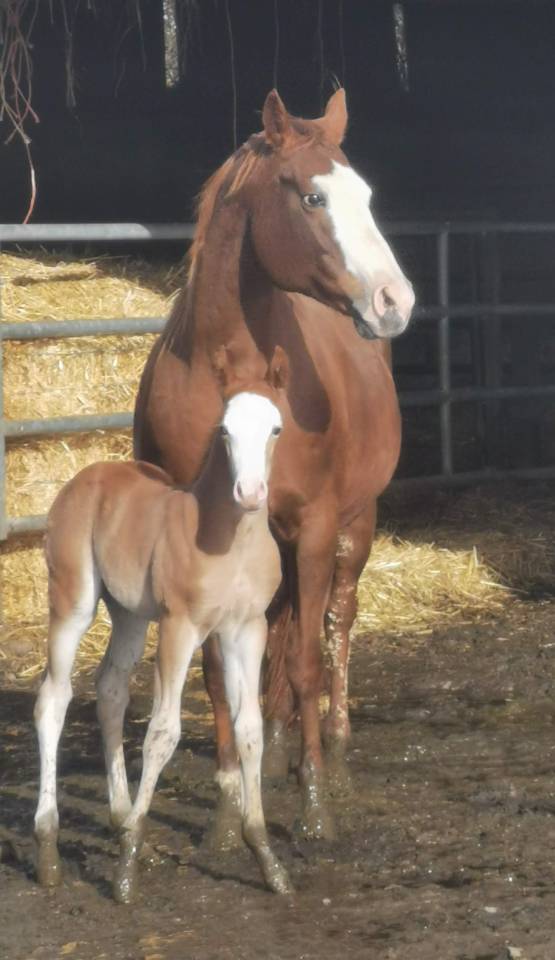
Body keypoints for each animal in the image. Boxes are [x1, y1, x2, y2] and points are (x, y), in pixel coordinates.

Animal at [34, 347, 292, 903]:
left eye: (276, 428)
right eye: (224, 429)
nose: (251, 492)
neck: (229, 539)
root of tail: (86, 476)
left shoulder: (247, 630)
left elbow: (250, 729)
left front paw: (268, 860)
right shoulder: (180, 627)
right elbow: (163, 732)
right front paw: (126, 874)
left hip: (129, 613)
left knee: (110, 690)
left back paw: (120, 820)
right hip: (73, 600)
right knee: (53, 700)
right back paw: (49, 850)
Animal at [134, 88, 415, 841]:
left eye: (367, 195)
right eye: (313, 197)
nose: (394, 301)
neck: (233, 372)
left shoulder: (315, 527)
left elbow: (312, 659)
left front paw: (314, 803)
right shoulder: (200, 542)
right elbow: (214, 672)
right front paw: (230, 805)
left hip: (355, 526)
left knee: (336, 622)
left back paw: (332, 749)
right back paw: (280, 736)